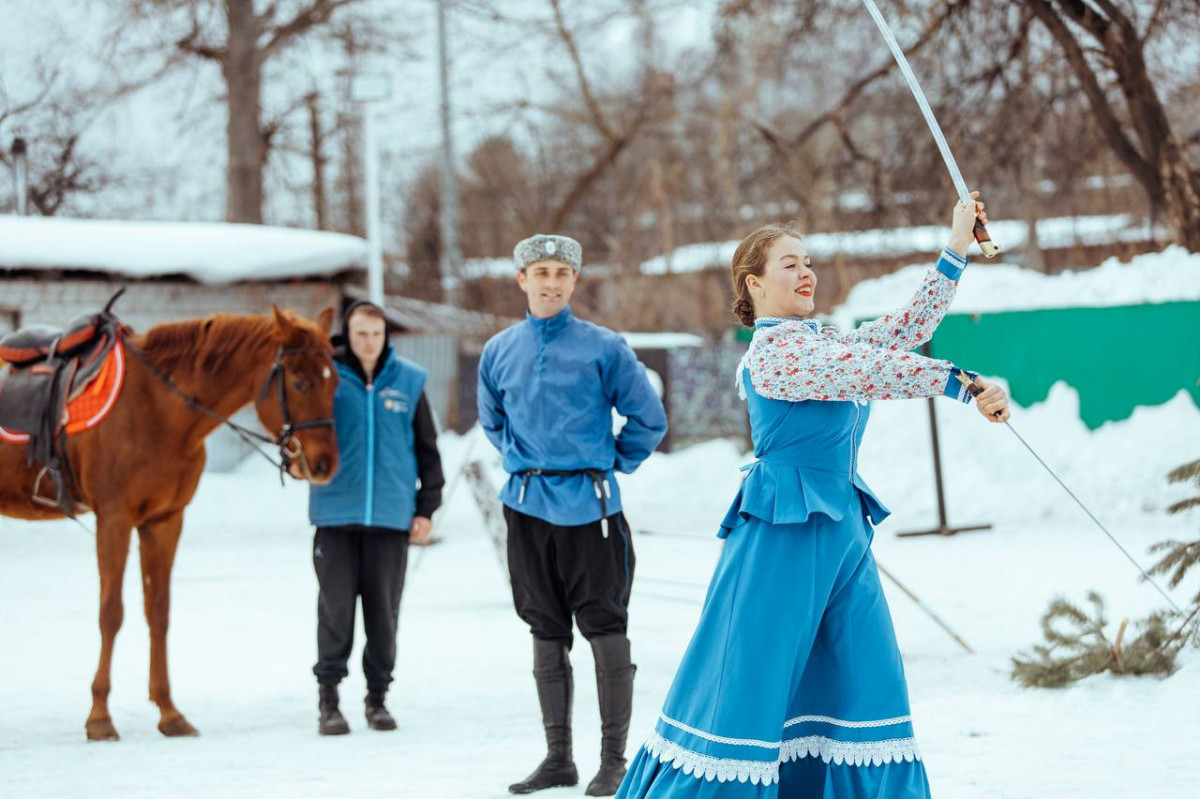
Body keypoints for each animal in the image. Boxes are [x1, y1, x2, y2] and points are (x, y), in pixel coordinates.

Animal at [0, 303, 340, 734]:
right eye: (299, 383)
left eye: (335, 383)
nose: (324, 465)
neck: (157, 407)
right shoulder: (114, 520)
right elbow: (111, 613)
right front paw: (100, 717)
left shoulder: (164, 521)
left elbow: (158, 612)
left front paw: (169, 712)